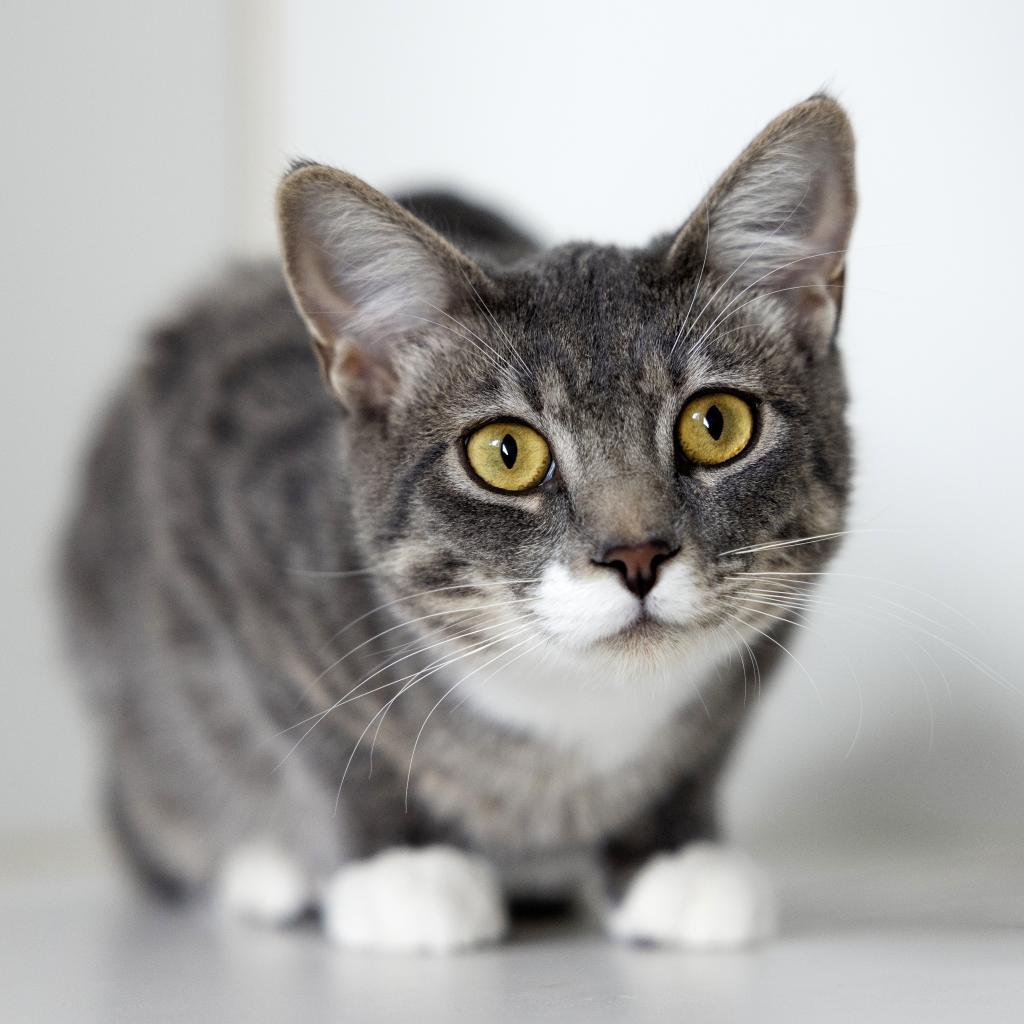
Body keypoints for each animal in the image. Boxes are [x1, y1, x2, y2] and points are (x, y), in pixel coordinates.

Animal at [58, 94, 856, 950]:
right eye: (505, 453)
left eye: (717, 424)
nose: (637, 554)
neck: (569, 719)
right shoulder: (221, 531)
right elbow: (318, 735)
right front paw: (401, 866)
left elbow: (699, 750)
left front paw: (672, 856)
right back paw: (265, 871)